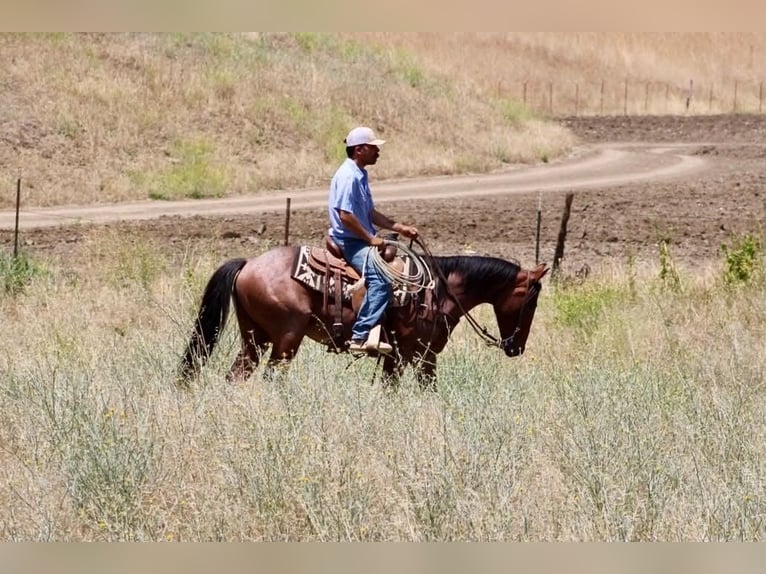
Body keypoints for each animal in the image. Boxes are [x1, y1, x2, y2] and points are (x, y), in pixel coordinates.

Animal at [178, 241, 549, 390]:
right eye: (531, 302)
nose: (515, 347)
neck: (439, 291)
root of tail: (248, 264)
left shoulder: (397, 356)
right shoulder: (422, 355)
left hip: (255, 338)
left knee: (236, 376)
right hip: (286, 339)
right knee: (272, 378)